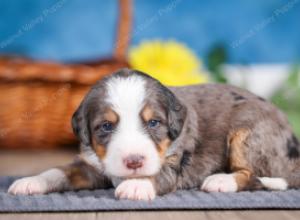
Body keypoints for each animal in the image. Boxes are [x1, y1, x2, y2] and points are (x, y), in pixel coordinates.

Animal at [8, 68, 300, 200]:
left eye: (154, 123)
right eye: (106, 126)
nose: (133, 162)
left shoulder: (174, 164)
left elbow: (157, 175)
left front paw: (135, 185)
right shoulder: (90, 165)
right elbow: (57, 171)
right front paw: (29, 181)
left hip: (248, 133)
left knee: (261, 175)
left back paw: (221, 180)